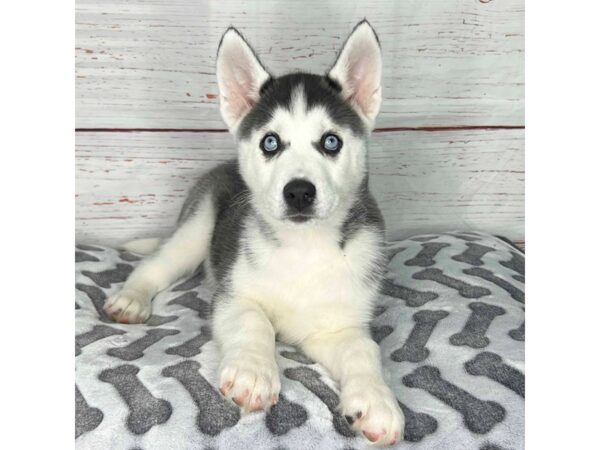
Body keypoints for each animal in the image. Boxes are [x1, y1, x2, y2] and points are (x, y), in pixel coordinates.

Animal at [106, 20, 408, 442]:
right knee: (156, 264)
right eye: (270, 142)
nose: (299, 192)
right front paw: (253, 372)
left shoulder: (336, 326)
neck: (304, 248)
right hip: (196, 228)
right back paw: (131, 298)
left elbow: (364, 350)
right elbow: (255, 320)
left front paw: (378, 400)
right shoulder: (232, 295)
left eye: (331, 141)